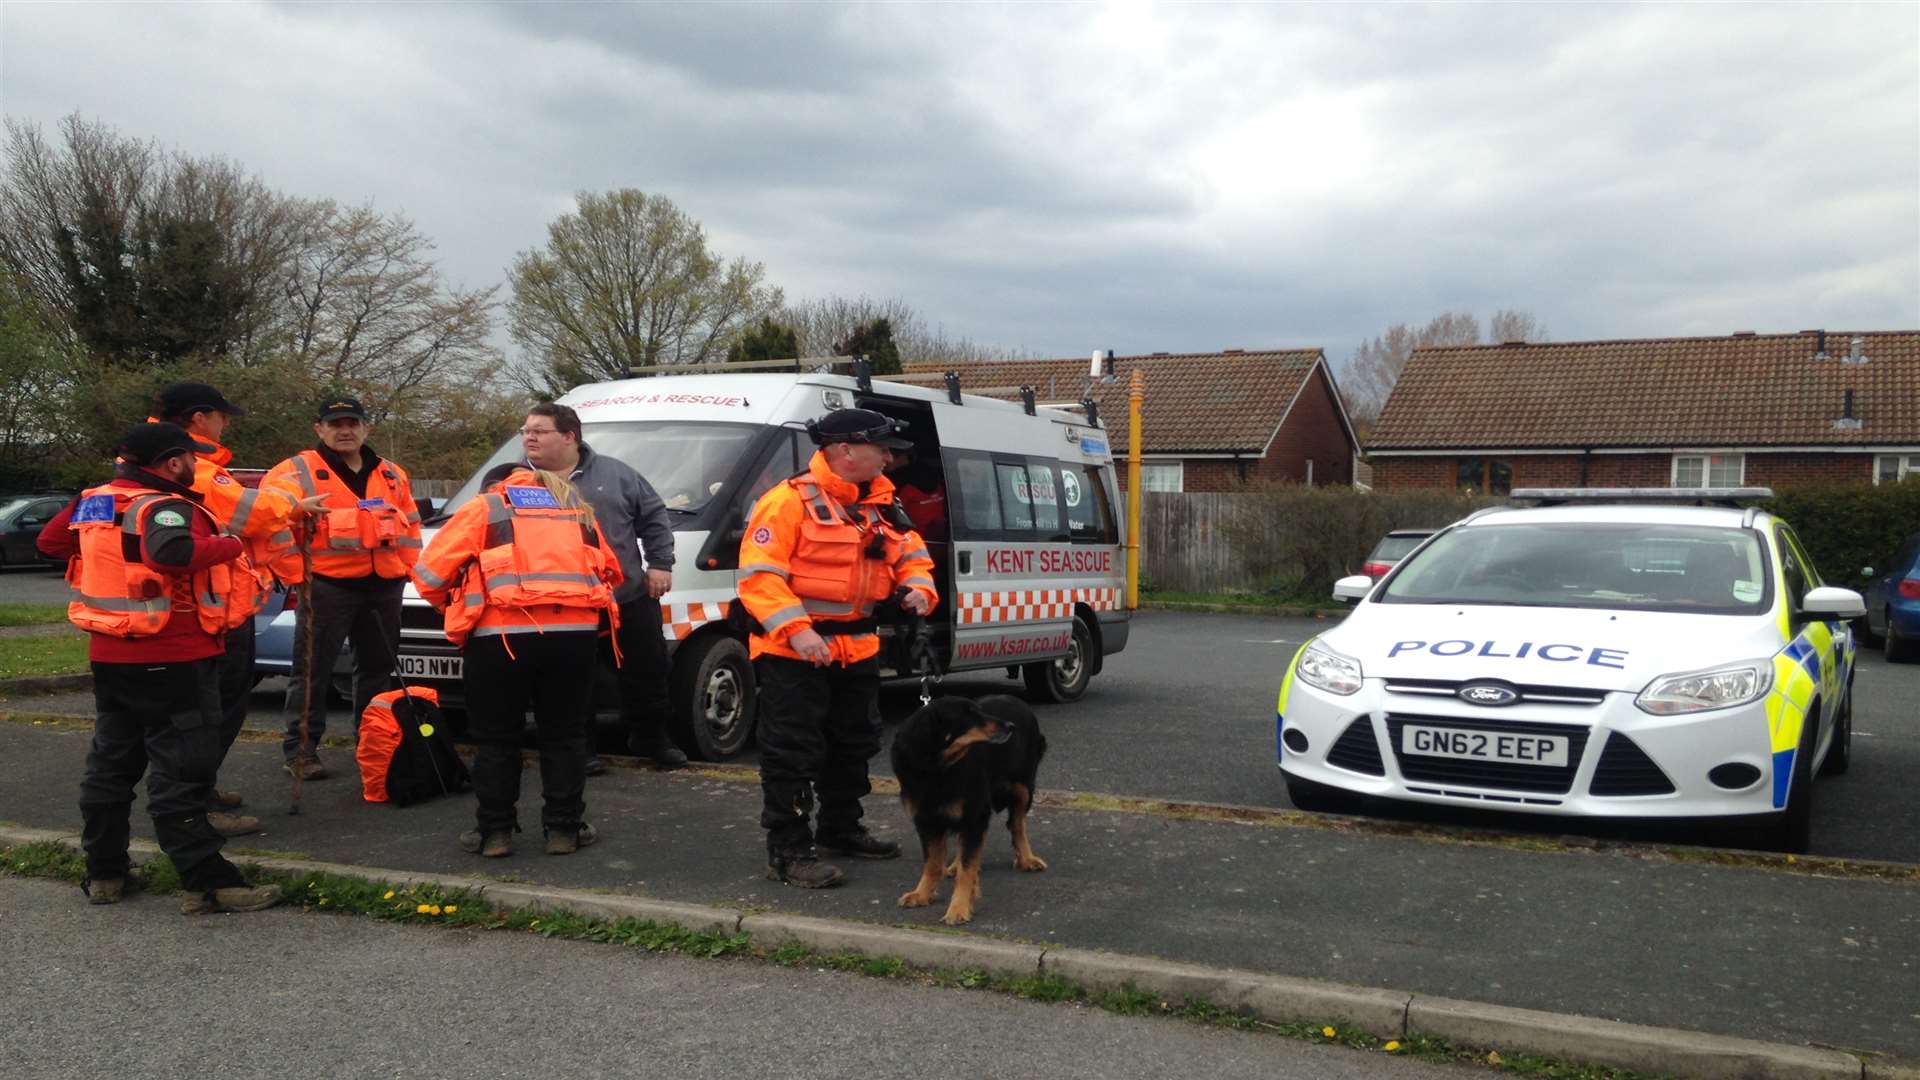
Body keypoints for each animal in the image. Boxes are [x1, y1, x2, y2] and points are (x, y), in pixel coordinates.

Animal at [887, 691, 1052, 922]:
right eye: (969, 715)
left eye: (978, 711)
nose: (1010, 726)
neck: (937, 767)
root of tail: (1015, 699)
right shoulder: (925, 820)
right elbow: (933, 863)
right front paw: (921, 894)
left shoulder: (974, 815)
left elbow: (968, 868)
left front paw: (959, 908)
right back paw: (955, 865)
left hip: (1023, 788)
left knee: (1016, 824)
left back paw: (1027, 859)